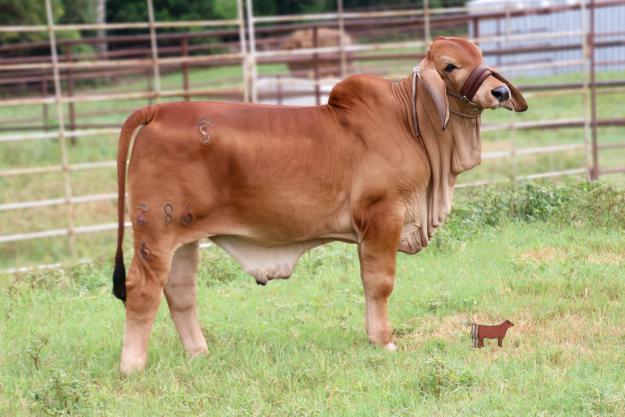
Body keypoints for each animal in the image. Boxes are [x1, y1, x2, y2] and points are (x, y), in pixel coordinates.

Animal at [112, 36, 527, 374]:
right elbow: (379, 283)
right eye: (450, 65)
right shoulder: (382, 217)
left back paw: (199, 354)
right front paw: (383, 340)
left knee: (180, 291)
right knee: (142, 290)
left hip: (183, 236)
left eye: (480, 56)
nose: (499, 92)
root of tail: (157, 111)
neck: (409, 124)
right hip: (155, 232)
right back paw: (132, 367)